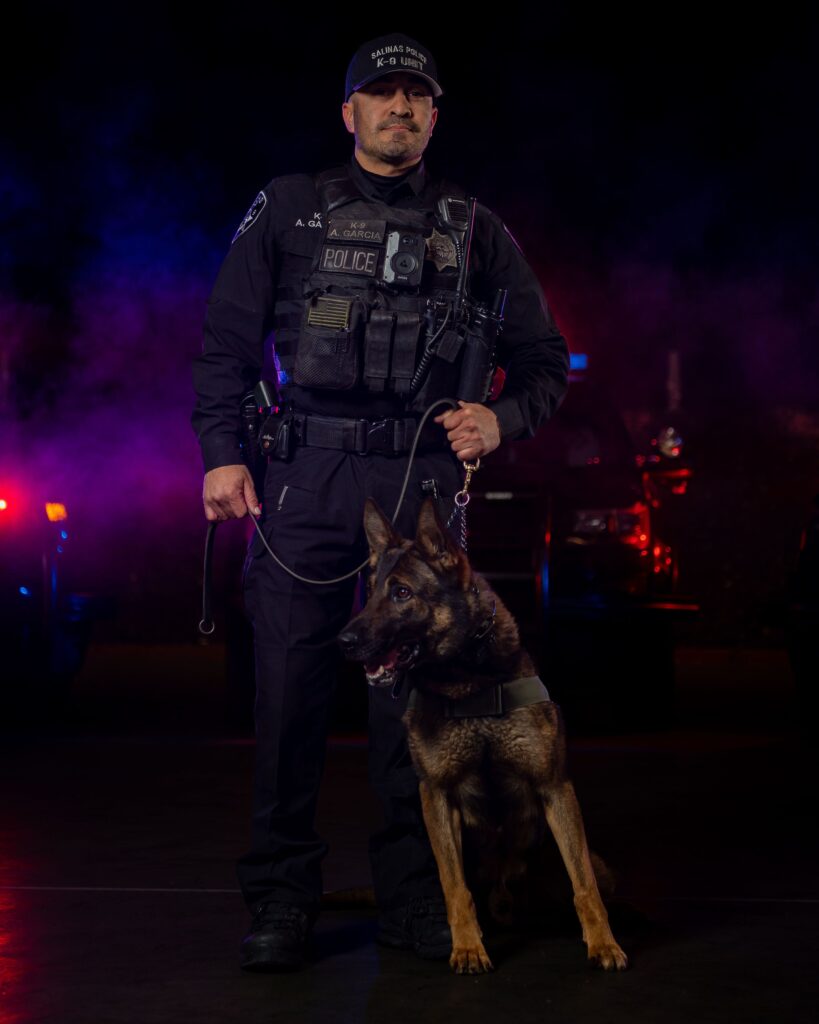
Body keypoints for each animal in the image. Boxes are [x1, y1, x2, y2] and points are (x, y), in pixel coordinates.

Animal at [339, 497, 626, 974]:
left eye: (402, 593)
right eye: (373, 589)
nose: (343, 640)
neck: (467, 678)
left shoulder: (555, 786)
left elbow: (583, 883)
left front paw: (603, 942)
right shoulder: (436, 794)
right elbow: (455, 888)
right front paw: (468, 947)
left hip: (593, 865)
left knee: (590, 880)